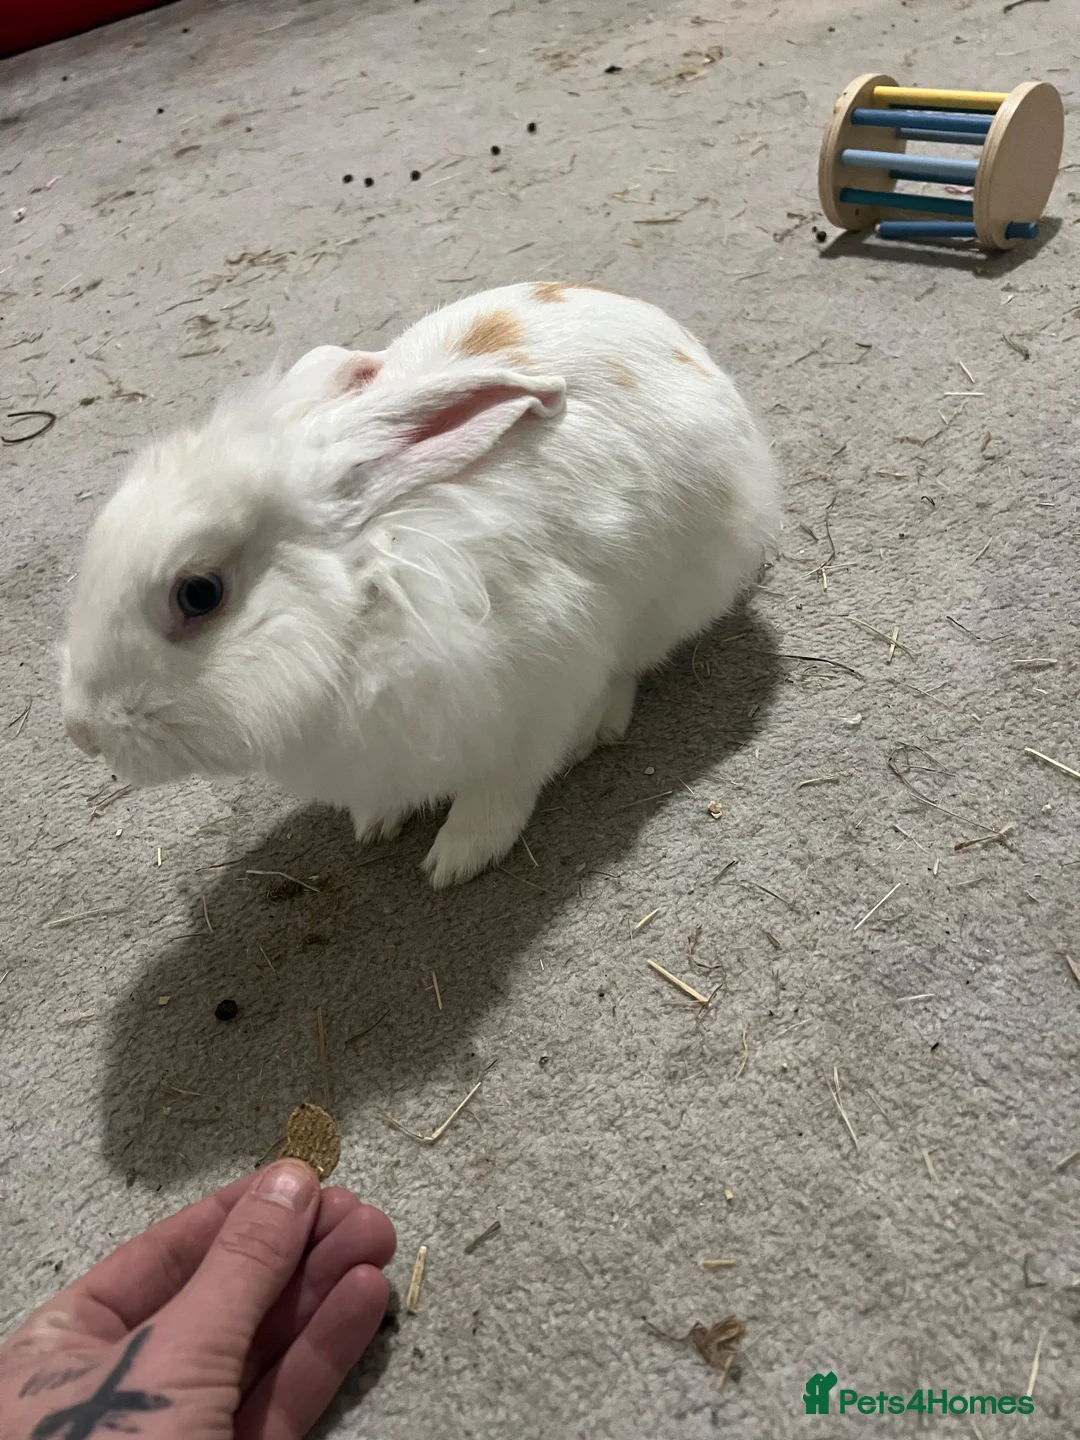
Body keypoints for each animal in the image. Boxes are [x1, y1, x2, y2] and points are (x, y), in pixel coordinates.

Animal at [60, 281, 779, 888]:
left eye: (199, 593)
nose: (81, 732)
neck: (366, 597)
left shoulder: (538, 698)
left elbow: (501, 790)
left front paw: (456, 859)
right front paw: (375, 823)